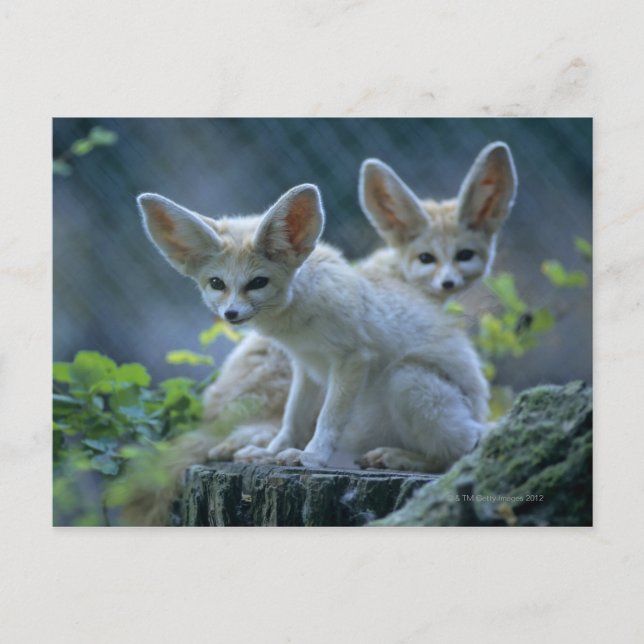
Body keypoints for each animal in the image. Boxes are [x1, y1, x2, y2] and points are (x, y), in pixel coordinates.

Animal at [117, 142, 516, 525]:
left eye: (257, 283)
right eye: (217, 284)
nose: (230, 314)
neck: (295, 320)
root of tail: (481, 417)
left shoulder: (353, 358)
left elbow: (328, 418)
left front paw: (310, 457)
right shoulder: (305, 366)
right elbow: (292, 419)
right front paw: (273, 452)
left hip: (407, 381)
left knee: (461, 452)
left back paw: (400, 457)